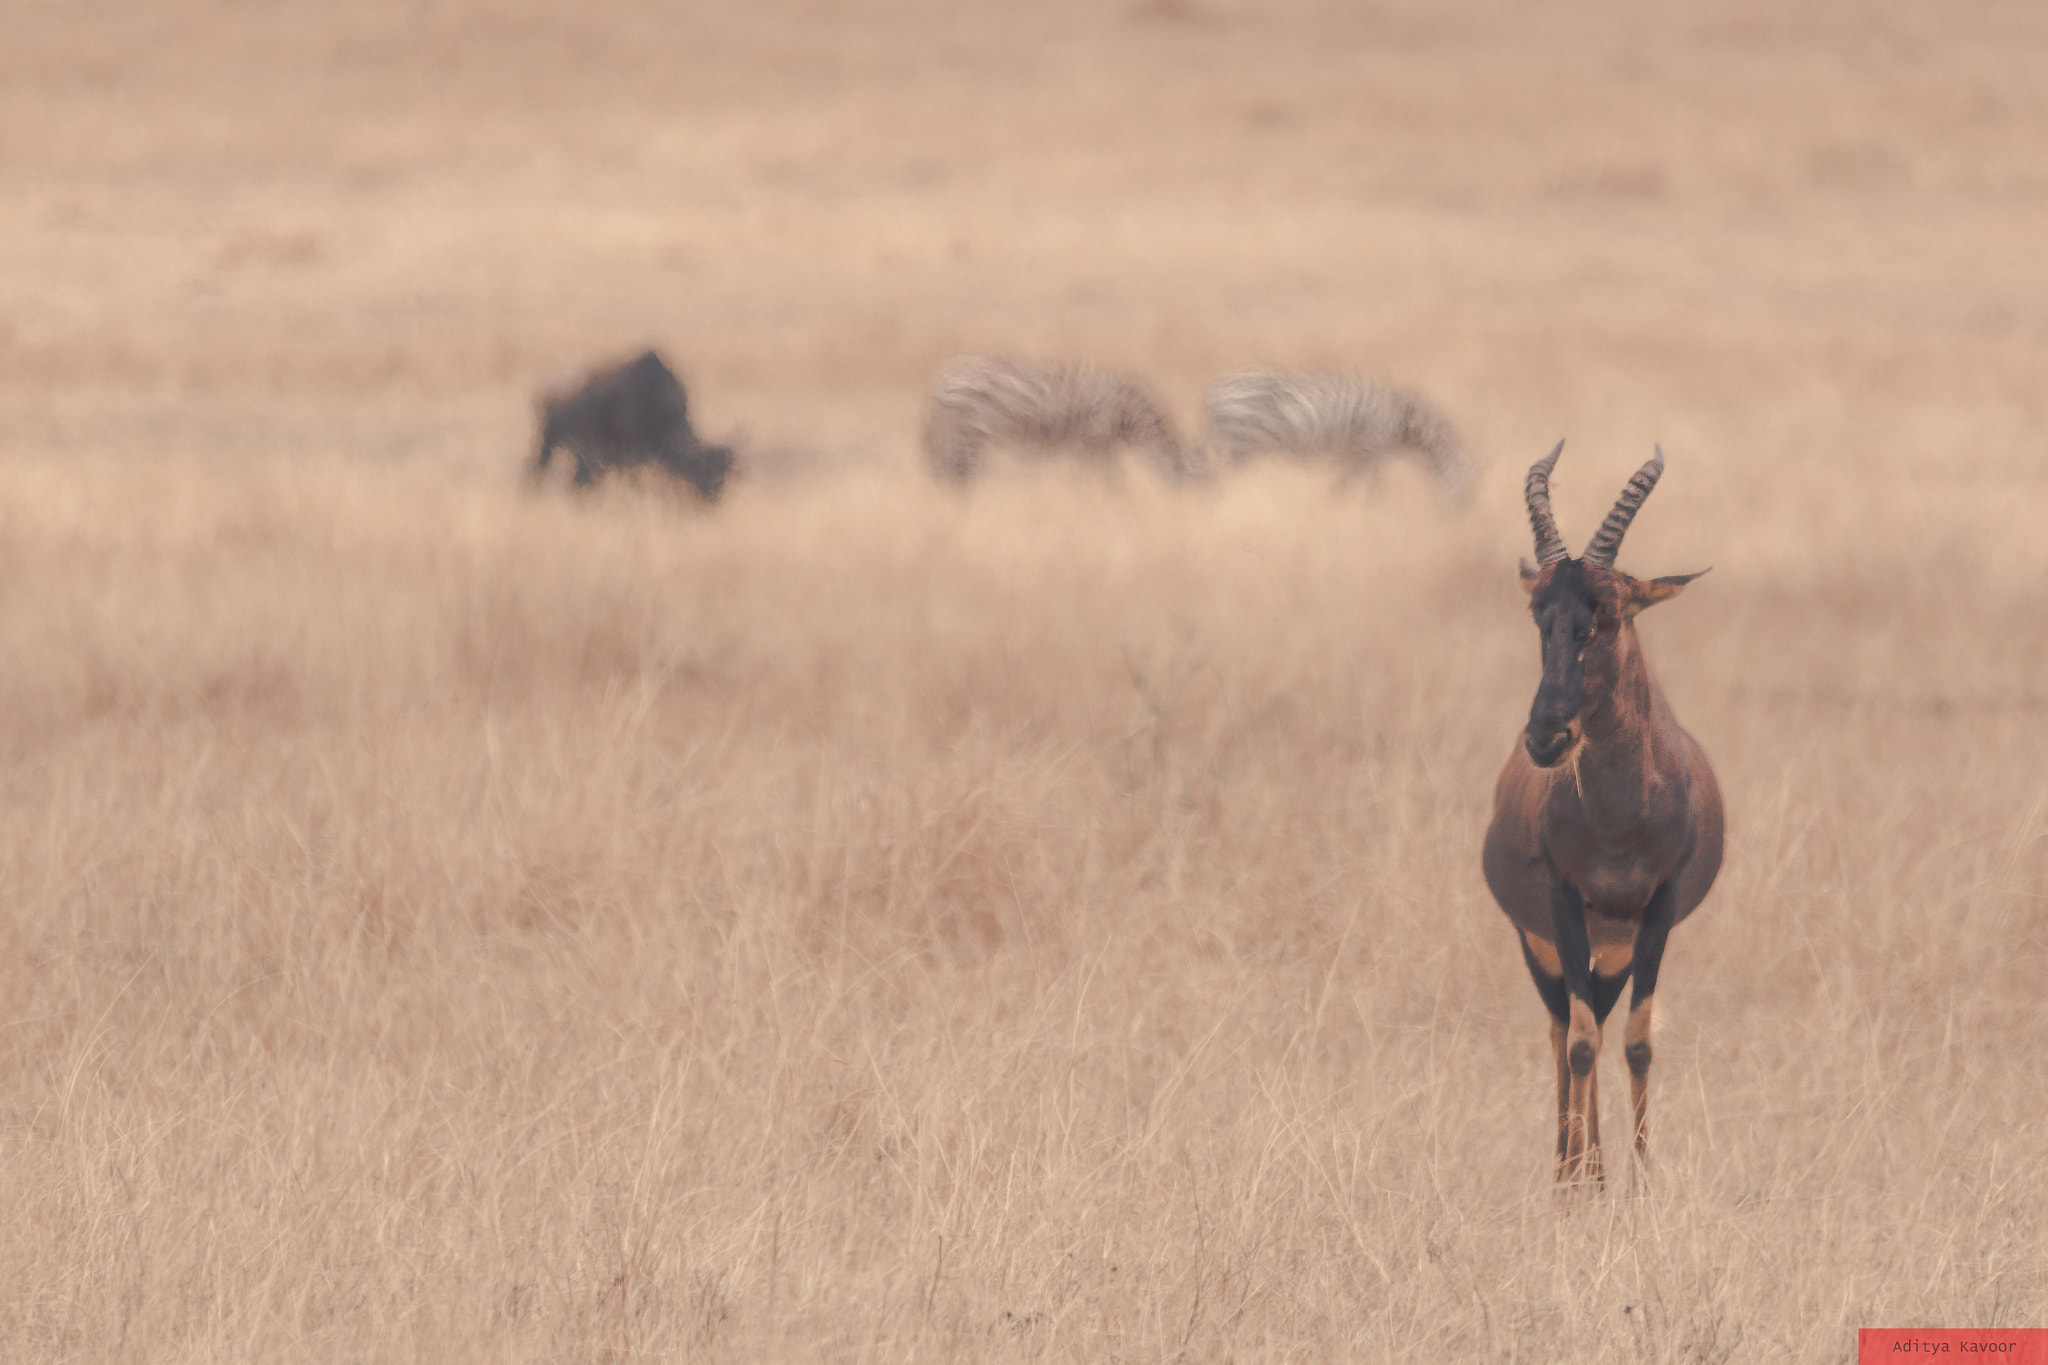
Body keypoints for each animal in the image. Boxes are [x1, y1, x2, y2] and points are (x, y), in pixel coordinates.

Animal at [925, 356, 1196, 482]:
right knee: (953, 473)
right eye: (1190, 484)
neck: (1125, 410)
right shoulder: (1093, 441)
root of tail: (947, 376)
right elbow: (1108, 480)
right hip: (967, 436)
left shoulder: (1095, 445)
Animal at [1196, 370, 1474, 505]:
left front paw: (1330, 505)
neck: (1403, 420)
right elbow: (1375, 488)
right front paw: (1373, 511)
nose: (1460, 517)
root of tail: (1214, 392)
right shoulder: (1374, 449)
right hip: (1239, 444)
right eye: (1465, 485)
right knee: (1222, 481)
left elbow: (1342, 485)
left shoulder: (1355, 453)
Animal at [1482, 444, 1720, 1186]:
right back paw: (1575, 1171)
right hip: (1546, 942)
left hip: (1611, 946)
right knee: (1564, 1027)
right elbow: (1581, 1043)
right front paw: (1573, 1190)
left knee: (1601, 1021)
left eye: (1612, 609)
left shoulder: (1658, 907)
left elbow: (1638, 1040)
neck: (1619, 819)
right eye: (1538, 611)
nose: (1547, 736)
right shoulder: (1562, 902)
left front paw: (1640, 1184)